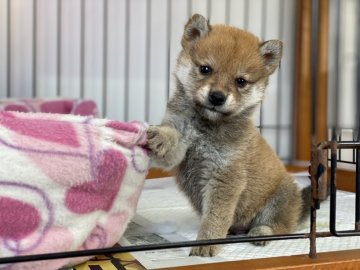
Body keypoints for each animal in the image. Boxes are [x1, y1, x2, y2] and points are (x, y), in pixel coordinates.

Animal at [146, 14, 310, 258]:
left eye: (240, 81)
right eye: (205, 69)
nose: (217, 97)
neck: (206, 126)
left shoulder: (226, 176)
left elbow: (215, 217)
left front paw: (206, 244)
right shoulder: (180, 140)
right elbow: (171, 139)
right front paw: (158, 136)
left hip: (280, 200)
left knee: (281, 227)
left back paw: (261, 232)